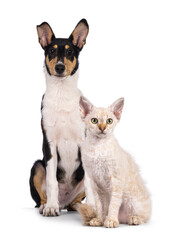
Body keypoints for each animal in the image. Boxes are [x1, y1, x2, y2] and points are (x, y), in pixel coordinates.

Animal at [29, 18, 90, 217]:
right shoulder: (50, 144)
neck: (61, 94)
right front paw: (51, 208)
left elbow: (90, 183)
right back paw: (48, 205)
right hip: (37, 166)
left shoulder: (83, 141)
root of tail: (65, 202)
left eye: (70, 52)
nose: (60, 67)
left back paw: (79, 207)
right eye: (51, 51)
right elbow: (51, 182)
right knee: (42, 197)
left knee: (76, 200)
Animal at [78, 96, 151, 228]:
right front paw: (99, 219)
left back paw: (134, 218)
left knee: (144, 216)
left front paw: (111, 220)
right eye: (94, 121)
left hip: (132, 200)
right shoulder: (94, 182)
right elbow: (99, 205)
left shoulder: (116, 180)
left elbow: (114, 203)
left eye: (109, 121)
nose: (102, 128)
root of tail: (123, 219)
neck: (98, 147)